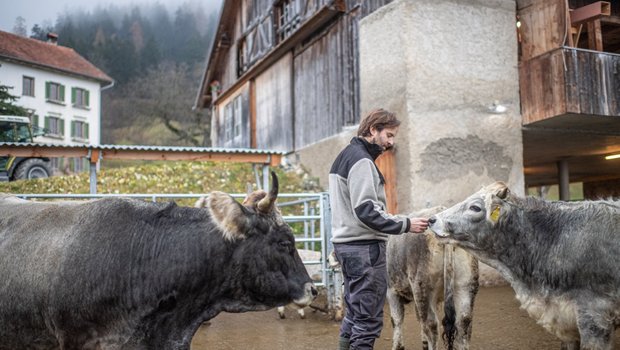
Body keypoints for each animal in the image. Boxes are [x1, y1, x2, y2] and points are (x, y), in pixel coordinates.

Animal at [388, 208, 480, 350]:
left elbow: (396, 320)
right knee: (464, 322)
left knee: (431, 325)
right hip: (466, 287)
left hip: (423, 289)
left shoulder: (392, 291)